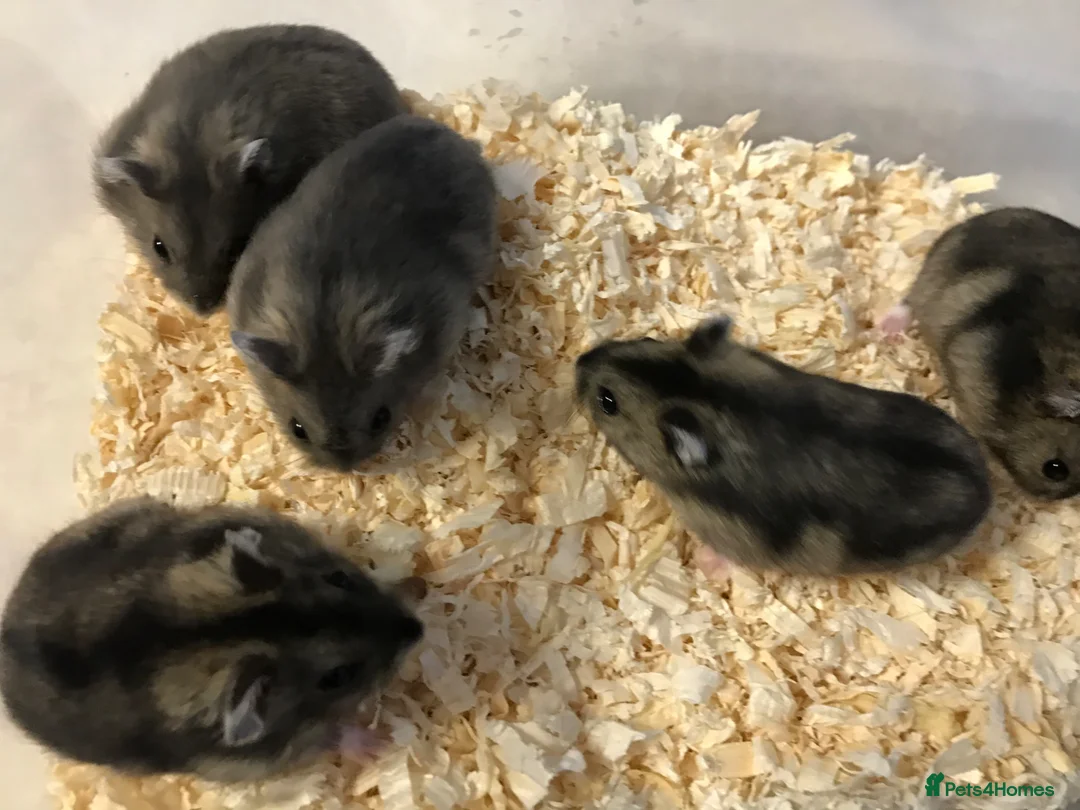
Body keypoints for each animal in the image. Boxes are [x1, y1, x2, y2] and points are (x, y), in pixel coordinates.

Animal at [0, 497, 424, 782]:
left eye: (341, 578)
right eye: (338, 677)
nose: (417, 629)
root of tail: (4, 630)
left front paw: (414, 579)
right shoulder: (262, 756)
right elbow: (330, 735)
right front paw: (378, 743)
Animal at [574, 317, 993, 577]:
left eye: (607, 401)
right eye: (647, 340)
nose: (579, 360)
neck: (708, 398)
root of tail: (986, 489)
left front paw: (704, 565)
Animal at [880, 207, 1080, 500]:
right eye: (1055, 469)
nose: (1046, 500)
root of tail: (970, 221)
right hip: (928, 282)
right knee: (908, 302)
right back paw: (887, 329)